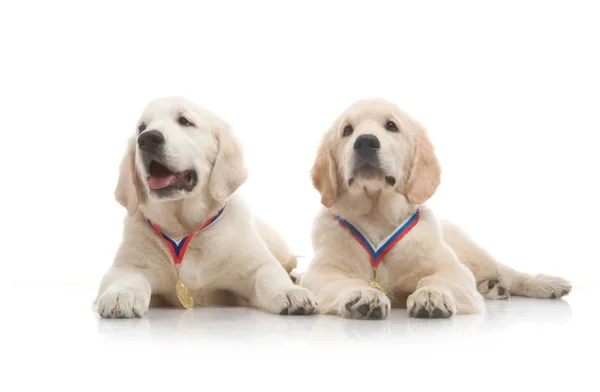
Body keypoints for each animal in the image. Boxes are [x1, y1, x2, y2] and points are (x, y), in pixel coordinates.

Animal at [94, 97, 316, 318]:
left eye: (185, 121)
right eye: (141, 127)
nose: (147, 139)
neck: (186, 229)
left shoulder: (254, 266)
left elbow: (269, 275)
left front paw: (291, 292)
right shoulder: (127, 264)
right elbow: (127, 277)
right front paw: (121, 295)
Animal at [300, 97, 572, 318]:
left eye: (391, 126)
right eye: (347, 130)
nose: (366, 141)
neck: (378, 215)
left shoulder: (453, 269)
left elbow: (436, 278)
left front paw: (432, 295)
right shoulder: (321, 271)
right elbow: (342, 282)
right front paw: (364, 294)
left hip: (474, 255)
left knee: (507, 271)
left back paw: (547, 283)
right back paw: (492, 288)